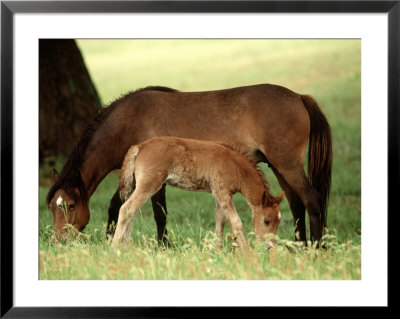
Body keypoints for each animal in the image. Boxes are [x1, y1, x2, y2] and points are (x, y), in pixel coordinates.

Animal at [47, 84, 332, 246]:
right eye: (51, 207)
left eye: (70, 205)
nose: (58, 241)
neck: (129, 120)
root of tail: (298, 97)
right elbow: (116, 206)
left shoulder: (155, 181)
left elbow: (158, 214)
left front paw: (162, 247)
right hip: (280, 167)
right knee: (296, 204)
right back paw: (298, 248)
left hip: (287, 165)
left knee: (313, 200)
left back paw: (317, 250)